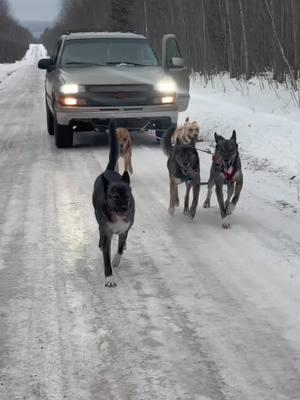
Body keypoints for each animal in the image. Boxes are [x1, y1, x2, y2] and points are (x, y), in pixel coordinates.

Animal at [91, 120, 134, 286]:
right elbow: (106, 257)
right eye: (114, 196)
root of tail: (108, 170)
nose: (124, 208)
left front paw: (116, 260)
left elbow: (120, 247)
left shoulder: (125, 230)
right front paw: (109, 277)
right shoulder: (108, 234)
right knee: (100, 231)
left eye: (127, 195)